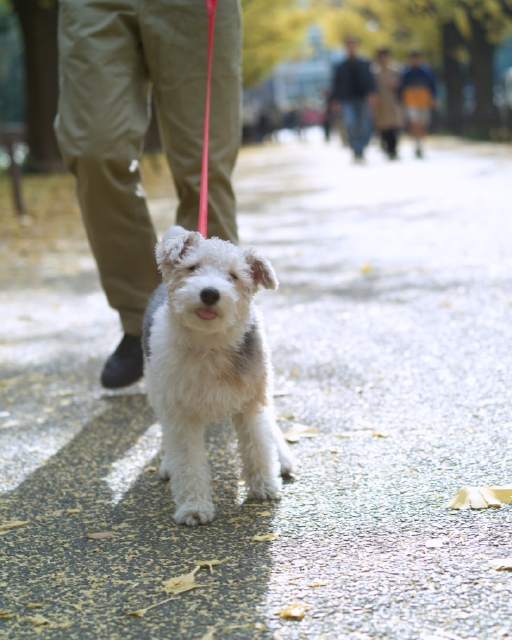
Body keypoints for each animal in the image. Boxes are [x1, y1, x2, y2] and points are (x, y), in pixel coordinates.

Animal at [142, 225, 294, 524]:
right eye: (192, 267)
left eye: (234, 275)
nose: (210, 293)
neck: (209, 345)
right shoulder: (180, 414)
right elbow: (188, 463)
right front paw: (194, 507)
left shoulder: (251, 403)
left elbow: (258, 446)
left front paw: (264, 487)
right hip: (157, 393)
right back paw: (168, 465)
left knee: (271, 425)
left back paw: (283, 459)